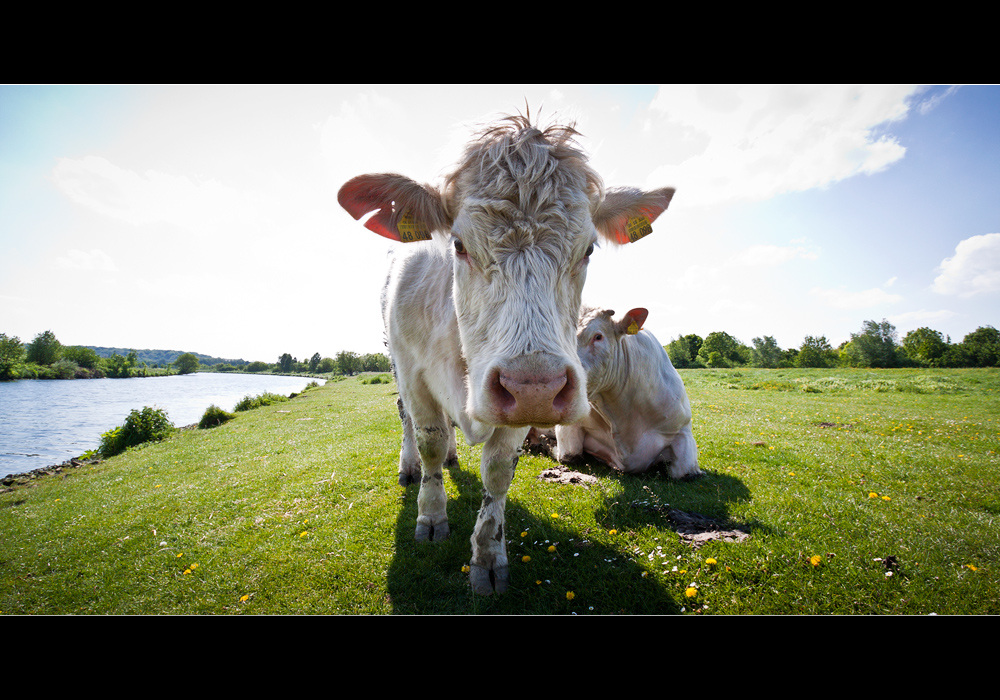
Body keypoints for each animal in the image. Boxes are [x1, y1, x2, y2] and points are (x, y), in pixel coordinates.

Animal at [340, 115, 676, 596]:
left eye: (588, 249)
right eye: (458, 245)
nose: (534, 387)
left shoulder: (519, 409)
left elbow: (497, 472)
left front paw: (488, 557)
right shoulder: (413, 370)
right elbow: (428, 439)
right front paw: (431, 517)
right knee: (408, 420)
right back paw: (412, 468)